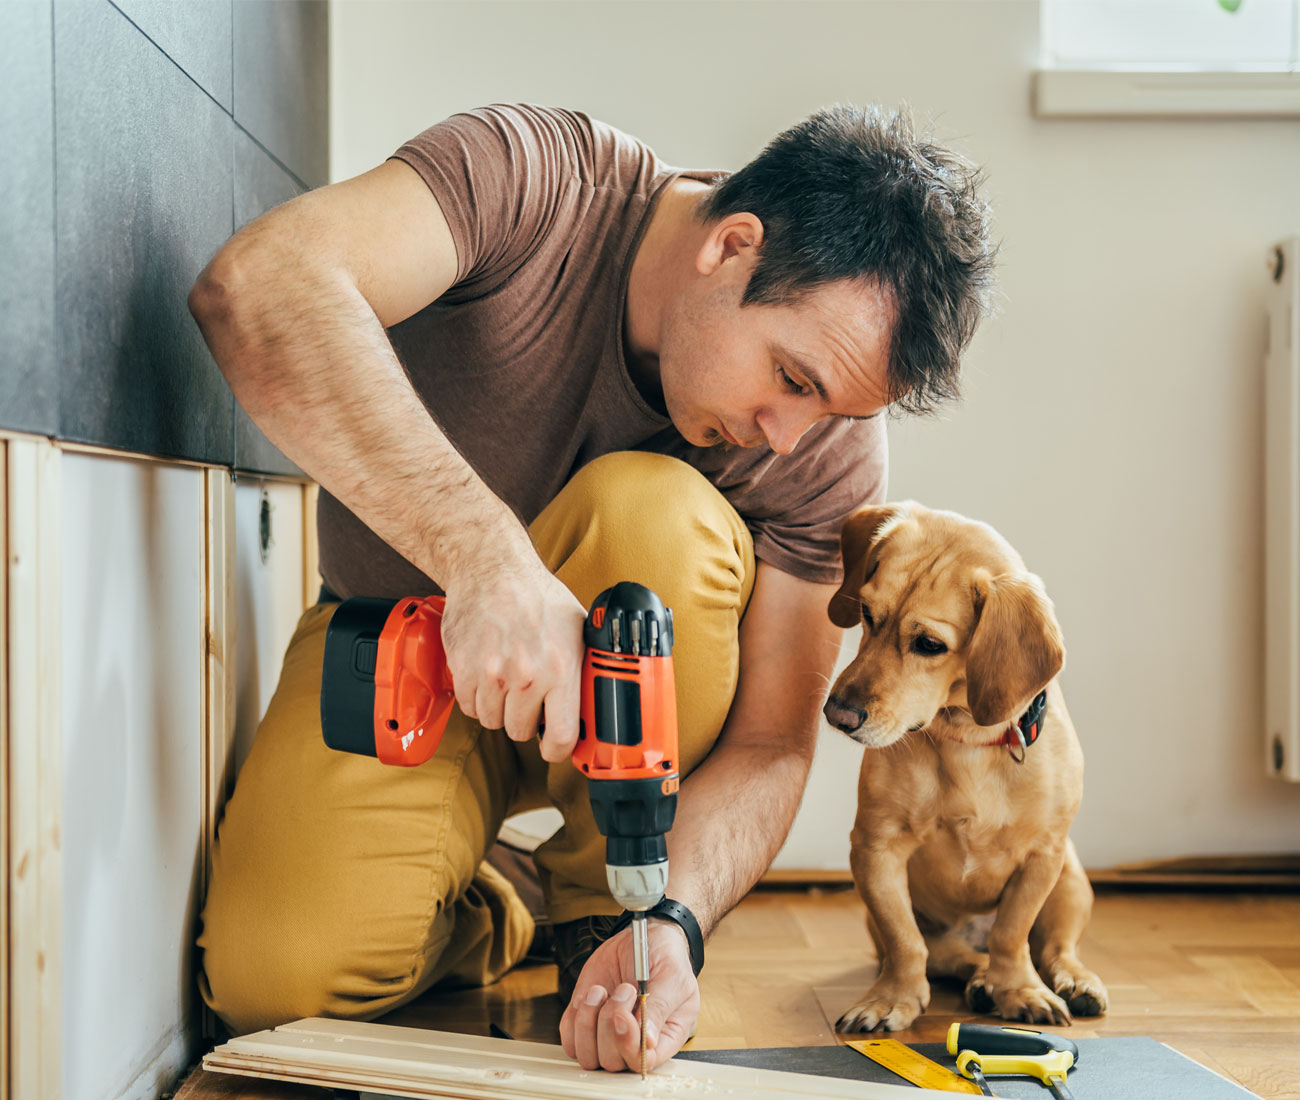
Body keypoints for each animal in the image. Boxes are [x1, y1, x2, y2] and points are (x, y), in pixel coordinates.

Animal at [821, 499, 1107, 1034]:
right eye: (867, 613)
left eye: (929, 644)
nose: (837, 714)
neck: (967, 741)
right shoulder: (875, 850)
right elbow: (904, 943)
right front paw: (892, 999)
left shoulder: (1043, 856)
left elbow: (1012, 936)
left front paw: (1021, 990)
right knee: (956, 956)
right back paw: (980, 983)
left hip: (1071, 882)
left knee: (1054, 949)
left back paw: (1072, 982)